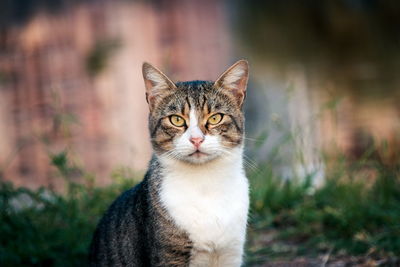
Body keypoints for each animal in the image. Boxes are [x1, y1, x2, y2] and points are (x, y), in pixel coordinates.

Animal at [89, 59, 248, 266]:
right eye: (176, 120)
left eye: (215, 118)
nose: (196, 139)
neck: (205, 183)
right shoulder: (169, 255)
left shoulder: (231, 252)